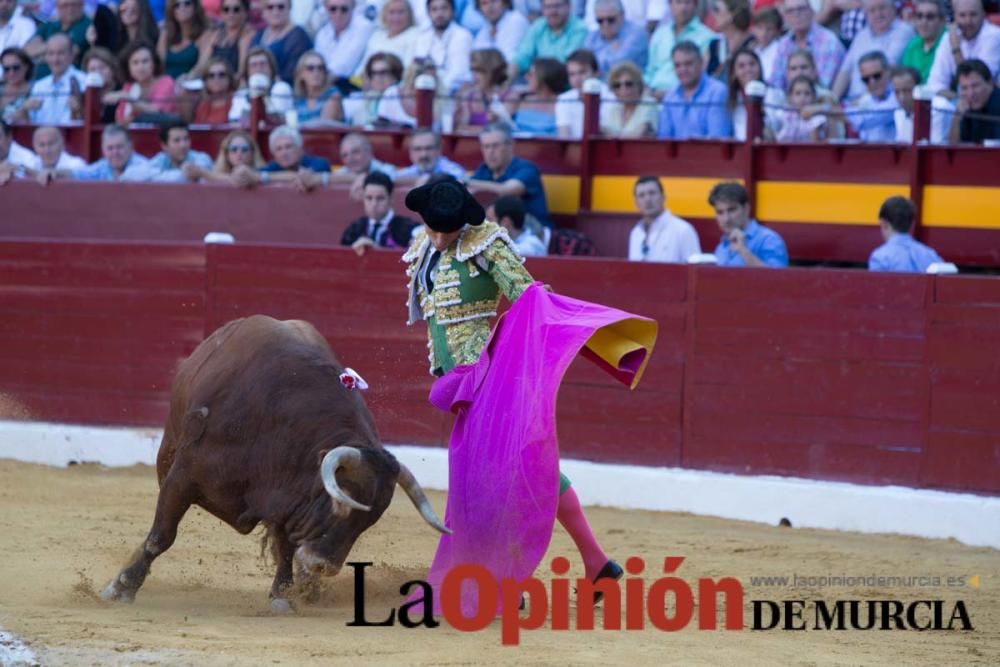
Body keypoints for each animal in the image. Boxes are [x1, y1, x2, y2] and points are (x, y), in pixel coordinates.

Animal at [100, 316, 446, 612]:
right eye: (340, 503)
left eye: (370, 521)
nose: (323, 567)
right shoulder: (183, 478)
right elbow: (162, 535)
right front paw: (122, 587)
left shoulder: (286, 498)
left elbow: (286, 547)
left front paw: (283, 595)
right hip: (169, 450)